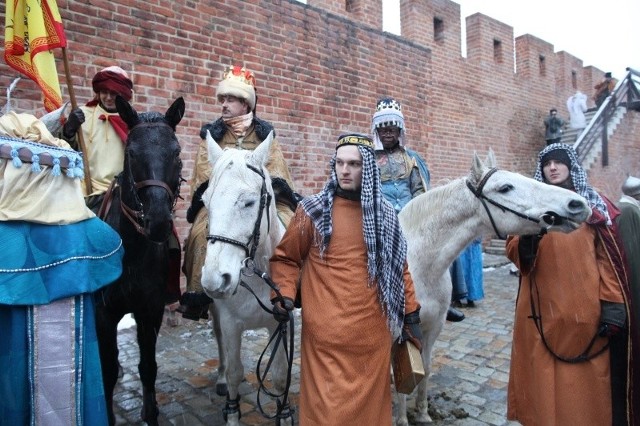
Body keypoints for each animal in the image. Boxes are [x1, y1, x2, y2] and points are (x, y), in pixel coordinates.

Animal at [95, 96, 185, 426]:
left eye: (176, 152)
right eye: (131, 153)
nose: (158, 221)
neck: (131, 251)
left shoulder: (151, 309)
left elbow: (148, 367)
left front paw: (151, 412)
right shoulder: (103, 313)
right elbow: (107, 371)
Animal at [200, 131, 290, 424]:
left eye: (249, 202)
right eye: (205, 201)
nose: (214, 280)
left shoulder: (281, 324)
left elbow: (280, 376)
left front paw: (285, 413)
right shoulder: (230, 324)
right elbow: (234, 372)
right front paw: (232, 413)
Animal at [392, 151, 592, 424]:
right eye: (505, 187)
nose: (577, 204)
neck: (419, 265)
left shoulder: (432, 328)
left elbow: (425, 368)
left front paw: (422, 414)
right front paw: (402, 418)